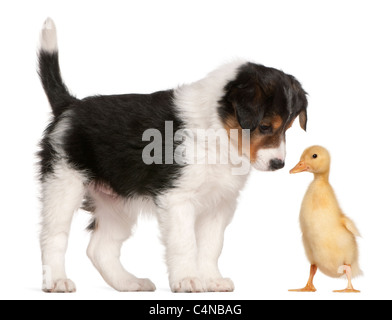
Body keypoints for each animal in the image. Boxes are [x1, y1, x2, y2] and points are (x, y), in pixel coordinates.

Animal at [37, 17, 306, 292]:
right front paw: (187, 279)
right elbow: (184, 243)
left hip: (116, 202)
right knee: (53, 236)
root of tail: (70, 106)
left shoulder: (219, 204)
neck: (217, 131)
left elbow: (211, 246)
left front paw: (212, 279)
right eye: (265, 126)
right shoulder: (177, 198)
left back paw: (130, 283)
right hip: (63, 183)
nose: (278, 164)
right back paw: (57, 281)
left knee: (100, 248)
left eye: (288, 127)